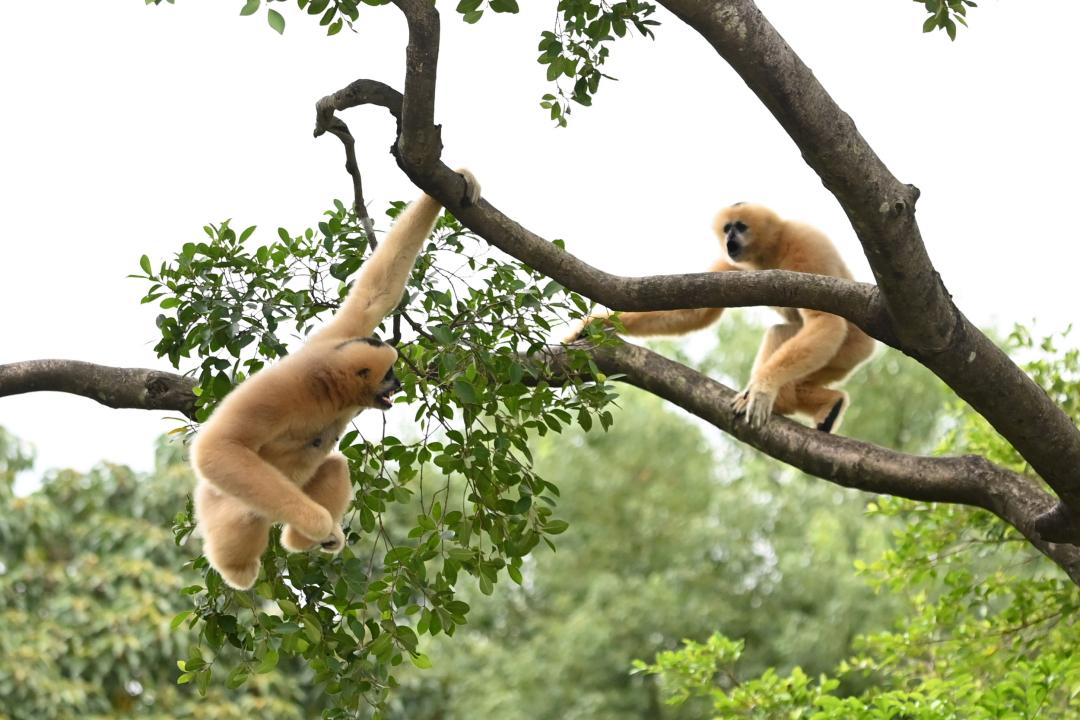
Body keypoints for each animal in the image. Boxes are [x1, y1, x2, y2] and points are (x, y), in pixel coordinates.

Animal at [190, 169, 480, 590]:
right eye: (388, 375)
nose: (398, 386)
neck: (327, 387)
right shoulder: (281, 388)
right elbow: (219, 446)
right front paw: (318, 523)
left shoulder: (339, 336)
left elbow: (376, 294)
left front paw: (454, 180)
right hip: (224, 500)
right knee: (240, 513)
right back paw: (244, 566)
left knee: (335, 465)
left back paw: (297, 540)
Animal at [568, 203, 875, 434]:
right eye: (728, 228)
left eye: (740, 226)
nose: (730, 238)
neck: (773, 247)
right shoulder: (733, 262)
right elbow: (695, 311)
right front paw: (594, 325)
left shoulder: (805, 240)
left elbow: (826, 319)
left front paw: (763, 390)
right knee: (782, 334)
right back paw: (831, 403)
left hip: (848, 352)